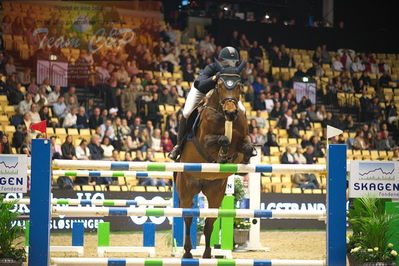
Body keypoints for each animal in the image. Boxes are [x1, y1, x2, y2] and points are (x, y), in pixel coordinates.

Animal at [175, 60, 253, 258]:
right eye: (219, 84)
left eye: (239, 85)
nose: (231, 113)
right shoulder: (205, 142)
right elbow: (223, 140)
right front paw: (222, 153)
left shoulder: (242, 141)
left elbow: (245, 146)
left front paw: (246, 157)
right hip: (186, 189)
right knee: (188, 217)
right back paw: (188, 252)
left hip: (215, 192)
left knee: (210, 221)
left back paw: (207, 254)